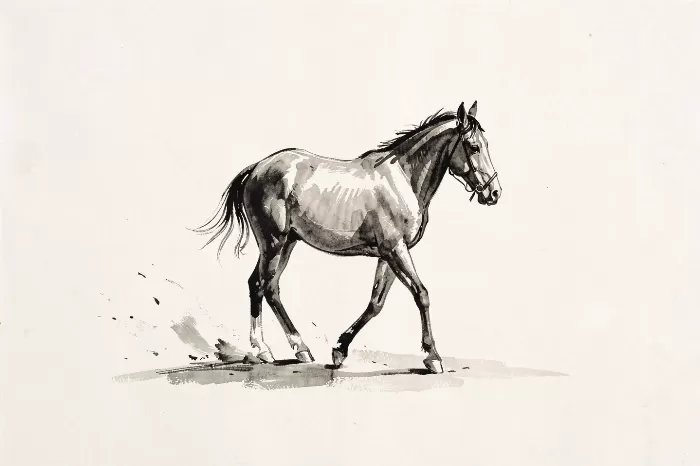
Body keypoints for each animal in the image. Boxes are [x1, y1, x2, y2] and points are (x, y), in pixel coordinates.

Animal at [194, 101, 501, 374]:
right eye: (474, 147)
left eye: (486, 144)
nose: (494, 193)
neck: (402, 178)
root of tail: (257, 167)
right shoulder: (395, 249)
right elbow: (421, 294)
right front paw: (433, 357)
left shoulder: (389, 254)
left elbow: (375, 303)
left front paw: (340, 350)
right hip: (273, 242)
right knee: (259, 285)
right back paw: (263, 350)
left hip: (288, 243)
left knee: (269, 287)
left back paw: (300, 349)